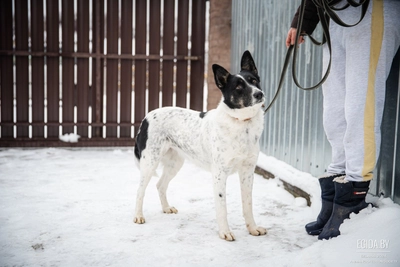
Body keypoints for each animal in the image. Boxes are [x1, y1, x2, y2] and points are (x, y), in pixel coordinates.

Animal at [133, 50, 268, 243]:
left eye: (254, 80)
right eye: (238, 87)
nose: (259, 94)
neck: (242, 123)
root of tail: (146, 117)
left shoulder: (248, 172)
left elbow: (248, 205)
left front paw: (253, 228)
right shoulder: (219, 174)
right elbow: (222, 208)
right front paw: (225, 232)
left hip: (175, 163)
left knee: (160, 185)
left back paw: (166, 208)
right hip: (149, 163)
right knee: (140, 190)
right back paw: (138, 216)